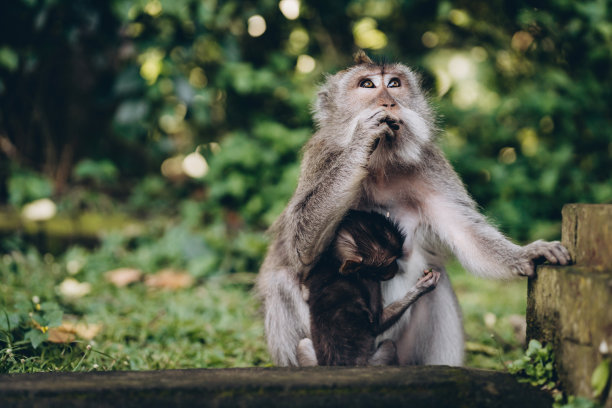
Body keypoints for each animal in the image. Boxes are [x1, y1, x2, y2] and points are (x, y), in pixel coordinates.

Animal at [298, 210, 438, 366]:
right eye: (387, 265)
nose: (395, 268)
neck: (336, 264)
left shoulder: (316, 271)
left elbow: (304, 292)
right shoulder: (371, 281)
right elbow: (377, 324)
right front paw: (423, 287)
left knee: (303, 344)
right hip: (375, 361)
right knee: (389, 345)